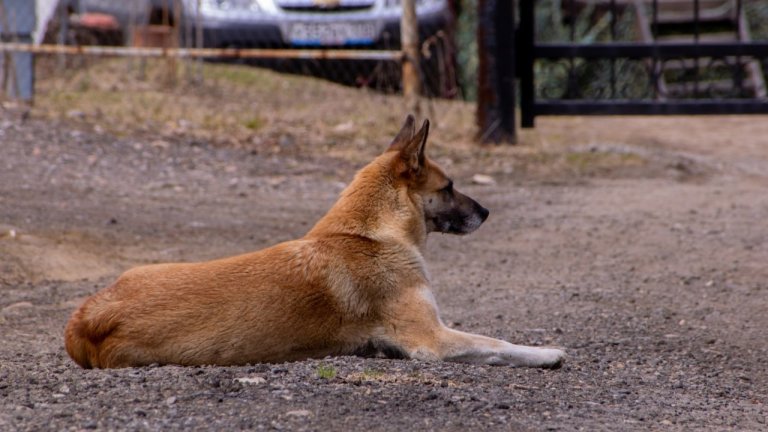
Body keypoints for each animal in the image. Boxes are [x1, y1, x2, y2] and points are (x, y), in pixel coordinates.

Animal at [64, 116, 564, 370]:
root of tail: (87, 318)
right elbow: (498, 342)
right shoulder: (434, 339)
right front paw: (546, 353)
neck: (365, 233)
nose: (486, 212)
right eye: (450, 186)